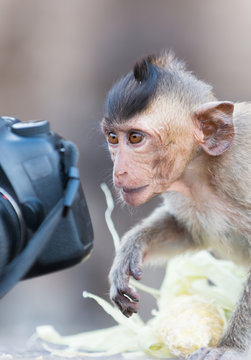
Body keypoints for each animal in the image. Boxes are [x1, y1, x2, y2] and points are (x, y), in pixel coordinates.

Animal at [100, 51, 251, 360]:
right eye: (113, 138)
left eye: (135, 138)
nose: (119, 171)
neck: (201, 168)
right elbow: (185, 231)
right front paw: (130, 250)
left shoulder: (239, 171)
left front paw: (230, 347)